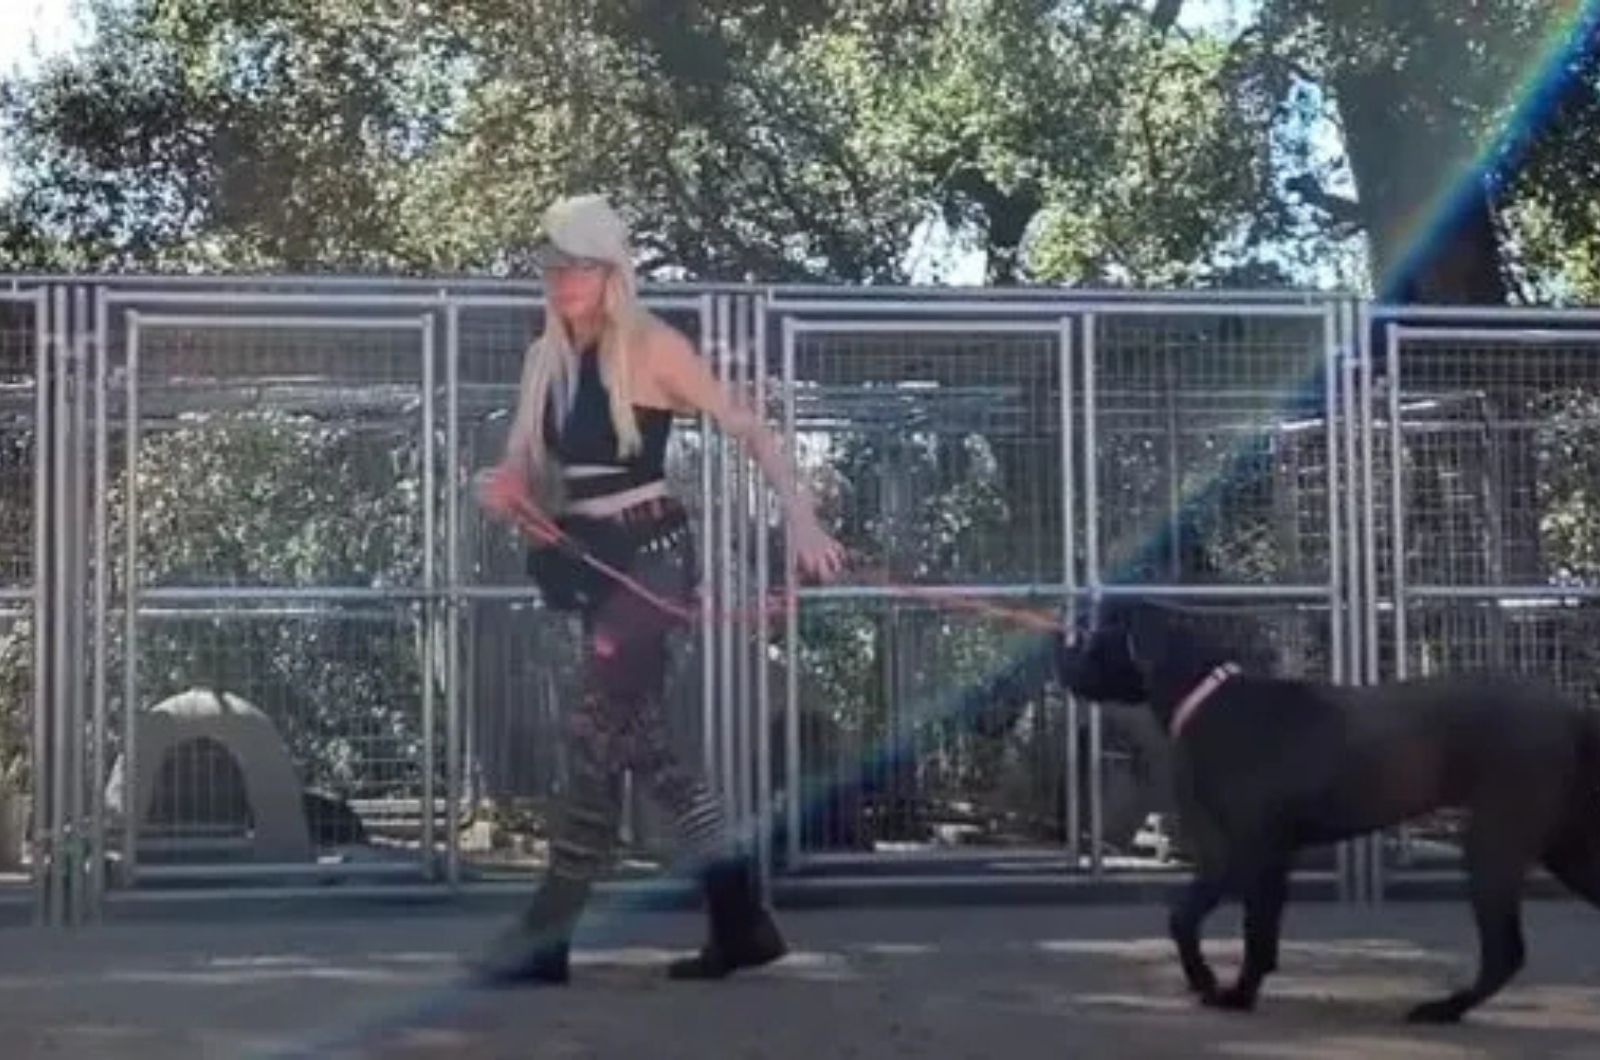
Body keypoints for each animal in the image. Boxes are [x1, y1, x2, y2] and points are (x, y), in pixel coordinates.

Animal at [1049, 602, 1600, 1024]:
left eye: (1096, 640)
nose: (1061, 654)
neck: (1208, 698)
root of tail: (1570, 713)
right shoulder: (1239, 855)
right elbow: (1213, 924)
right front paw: (1219, 985)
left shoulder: (1251, 850)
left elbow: (1233, 928)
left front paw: (1230, 992)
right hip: (1565, 846)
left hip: (1497, 839)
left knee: (1505, 951)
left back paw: (1442, 1009)